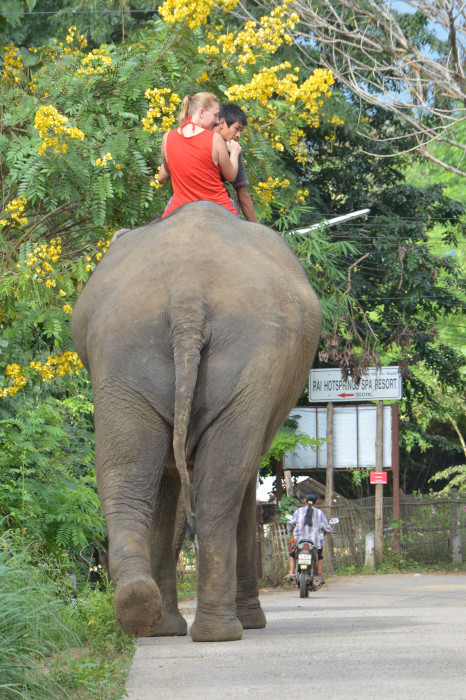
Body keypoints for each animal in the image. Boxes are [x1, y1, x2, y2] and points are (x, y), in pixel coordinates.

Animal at [72, 201, 320, 640]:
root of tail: (188, 298)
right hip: (248, 357)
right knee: (222, 486)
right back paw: (223, 630)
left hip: (124, 352)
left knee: (126, 477)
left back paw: (143, 609)